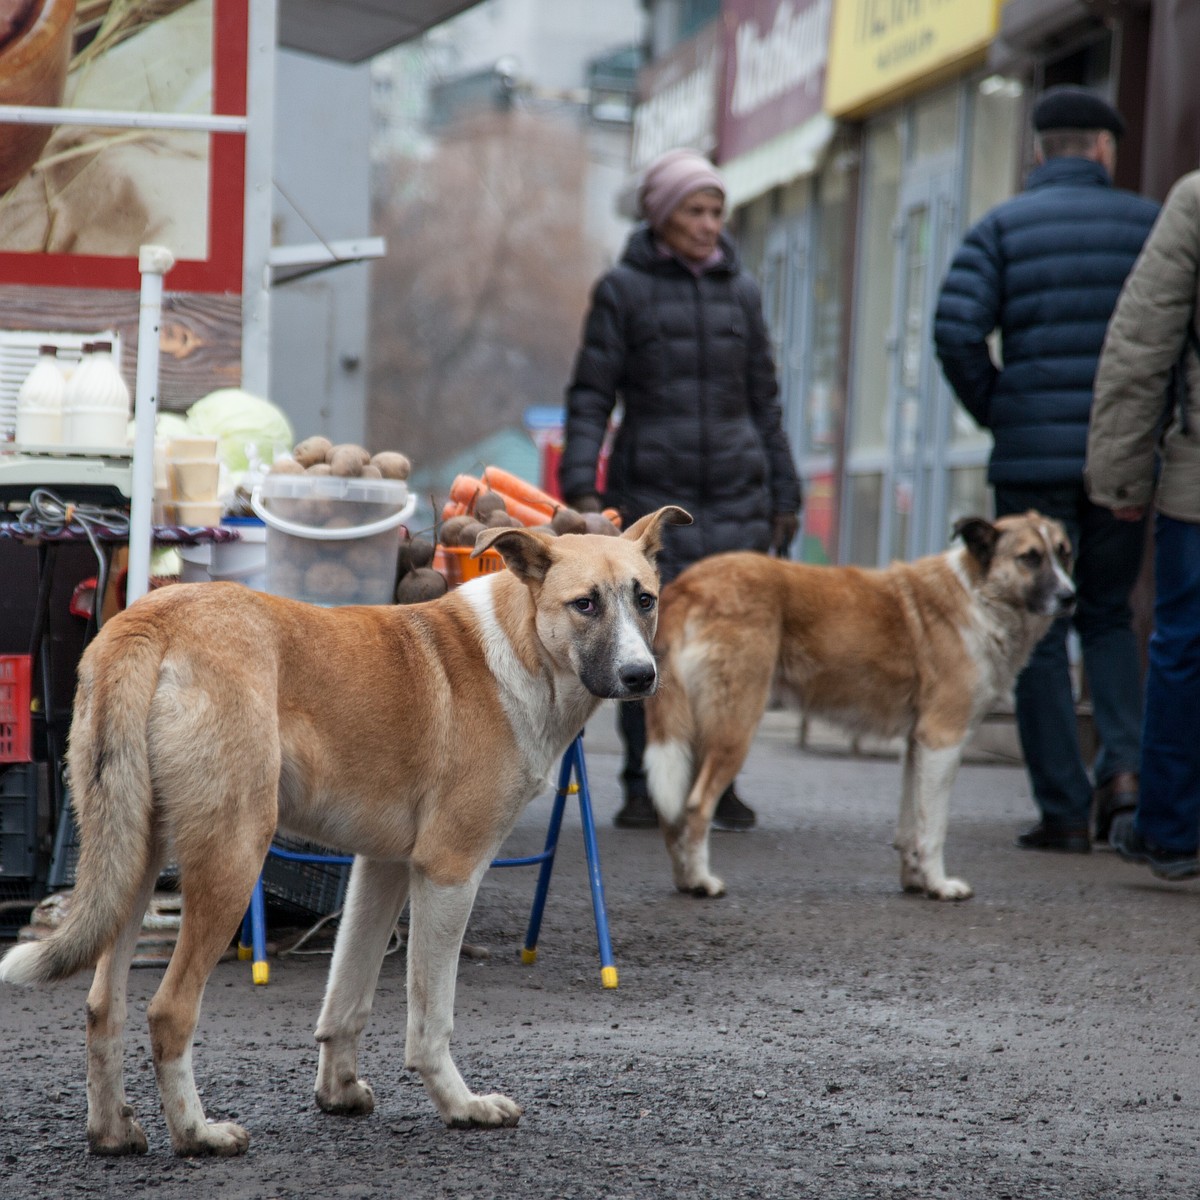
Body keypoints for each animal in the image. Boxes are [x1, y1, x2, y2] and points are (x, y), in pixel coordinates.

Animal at [0, 506, 691, 1152]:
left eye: (645, 599)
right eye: (585, 604)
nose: (641, 677)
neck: (521, 648)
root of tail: (152, 619)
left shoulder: (381, 868)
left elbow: (347, 996)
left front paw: (338, 1092)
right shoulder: (448, 872)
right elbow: (430, 1019)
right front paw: (461, 1105)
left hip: (133, 858)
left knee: (102, 1006)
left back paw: (112, 1132)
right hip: (232, 858)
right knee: (169, 1010)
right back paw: (198, 1135)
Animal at [643, 513, 1075, 902]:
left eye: (1064, 552)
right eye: (1030, 557)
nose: (1071, 597)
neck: (979, 595)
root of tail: (689, 584)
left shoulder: (917, 745)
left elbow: (910, 827)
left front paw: (916, 881)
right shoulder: (943, 740)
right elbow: (933, 829)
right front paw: (939, 885)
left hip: (695, 735)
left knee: (671, 810)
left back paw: (685, 880)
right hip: (735, 727)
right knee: (696, 806)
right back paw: (701, 882)